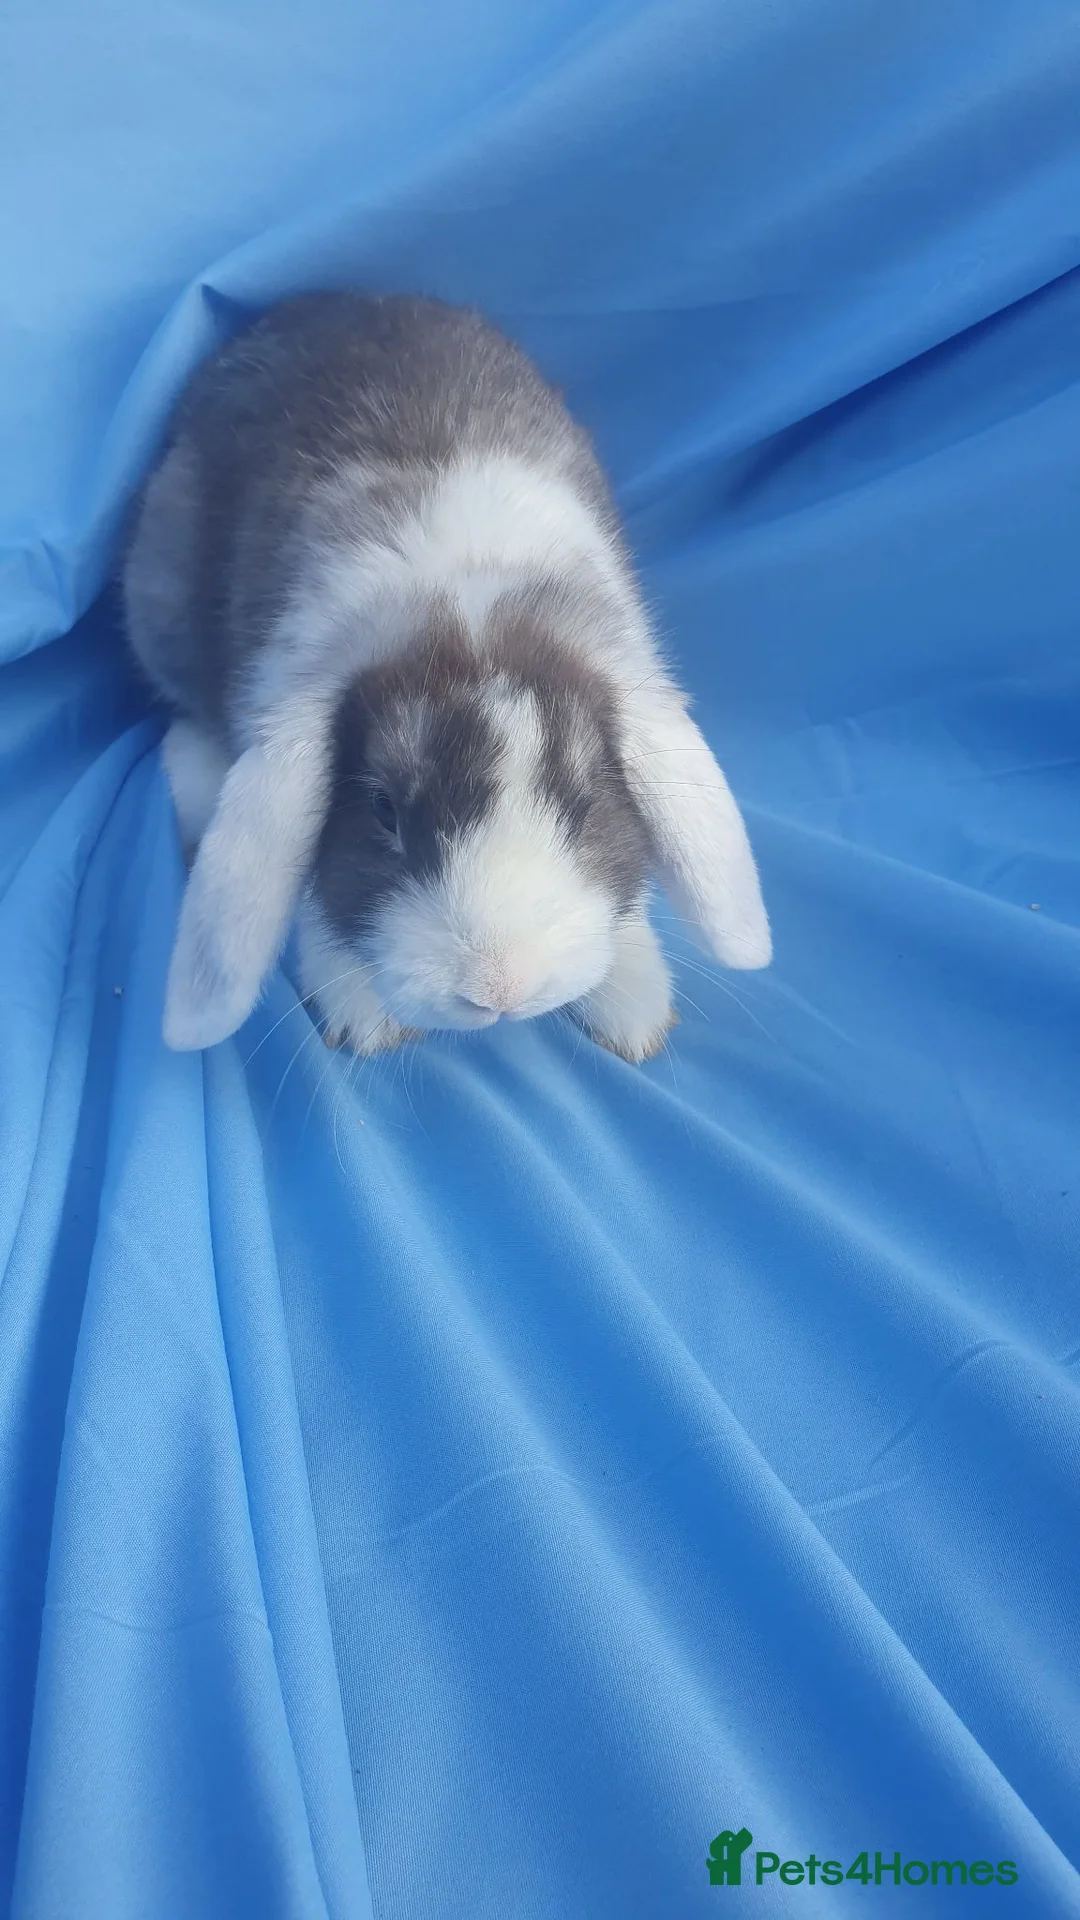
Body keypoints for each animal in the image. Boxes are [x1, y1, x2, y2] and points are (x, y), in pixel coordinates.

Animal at [122, 291, 771, 1062]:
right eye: (383, 811)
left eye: (585, 804)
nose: (500, 990)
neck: (463, 598)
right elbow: (309, 884)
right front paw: (362, 1012)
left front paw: (634, 1003)